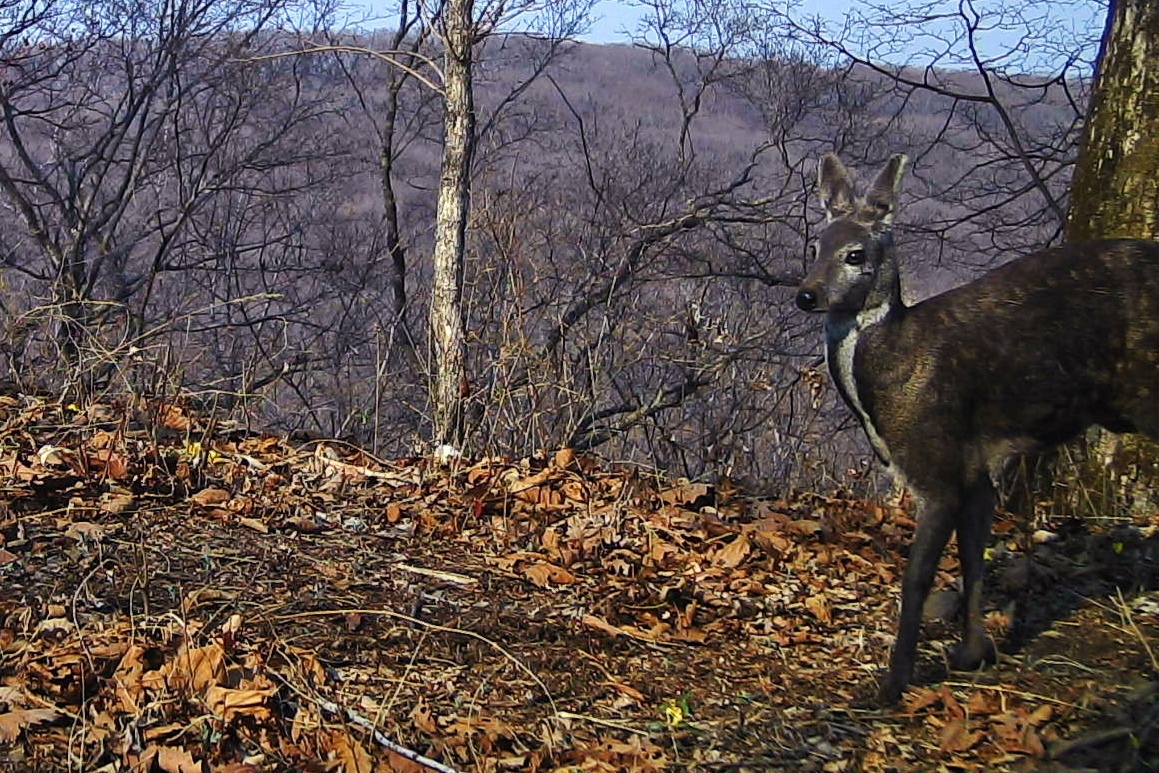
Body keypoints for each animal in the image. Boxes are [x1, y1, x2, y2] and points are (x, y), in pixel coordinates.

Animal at [792, 152, 1159, 709]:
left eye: (855, 254)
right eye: (814, 246)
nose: (806, 295)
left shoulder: (937, 459)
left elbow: (917, 578)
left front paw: (892, 684)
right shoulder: (976, 467)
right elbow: (972, 555)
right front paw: (972, 653)